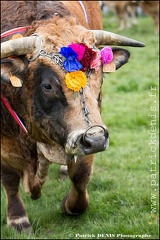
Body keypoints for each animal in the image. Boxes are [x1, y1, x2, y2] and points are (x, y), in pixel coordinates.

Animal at [0, 0, 145, 232]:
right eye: (47, 86)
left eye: (100, 77)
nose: (96, 140)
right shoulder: (5, 141)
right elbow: (10, 178)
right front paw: (17, 219)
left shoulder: (92, 128)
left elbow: (81, 173)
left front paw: (71, 206)